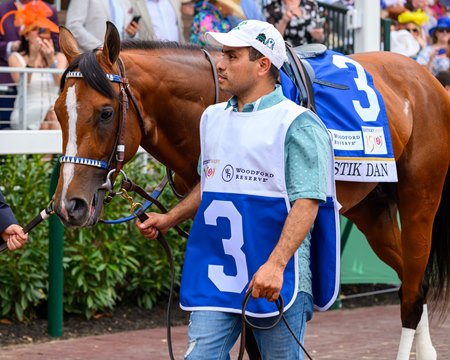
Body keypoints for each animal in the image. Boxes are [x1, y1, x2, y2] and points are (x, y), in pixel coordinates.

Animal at [52, 23, 450, 360]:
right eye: (58, 111)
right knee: (412, 281)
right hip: (371, 210)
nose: (70, 204)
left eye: (105, 113)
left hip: (419, 201)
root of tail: (426, 79)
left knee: (412, 294)